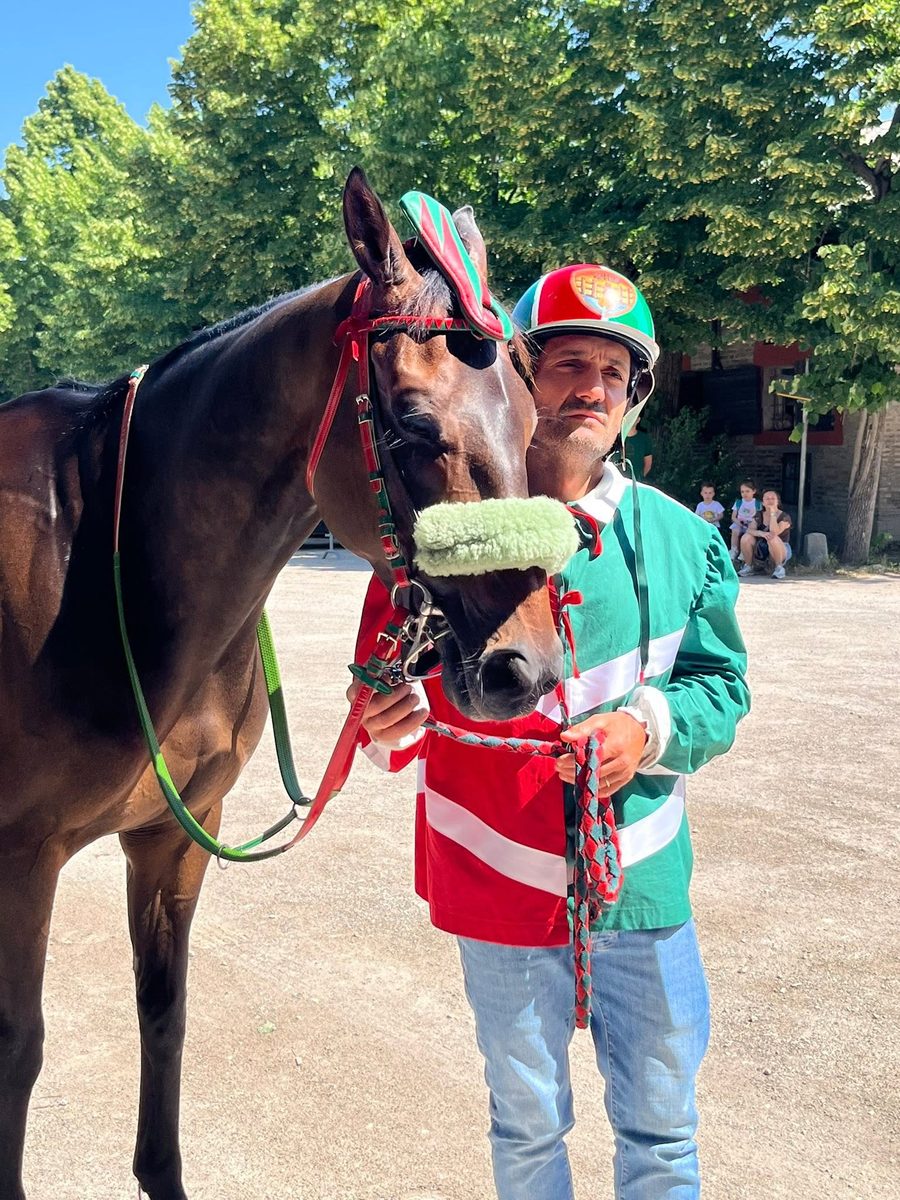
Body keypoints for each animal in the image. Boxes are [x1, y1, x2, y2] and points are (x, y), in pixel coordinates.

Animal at [0, 168, 566, 1200]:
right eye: (413, 427)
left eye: (530, 418)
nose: (526, 665)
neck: (108, 556)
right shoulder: (20, 858)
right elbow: (19, 1049)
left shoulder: (174, 836)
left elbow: (165, 1011)